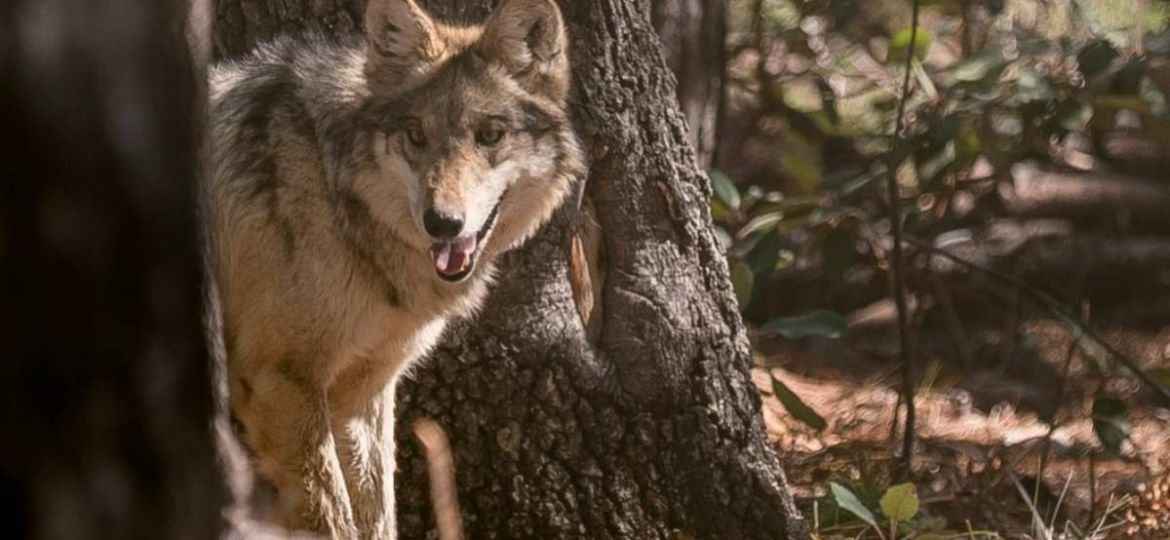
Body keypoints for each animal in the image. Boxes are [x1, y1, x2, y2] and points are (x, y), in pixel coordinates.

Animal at [204, 0, 583, 536]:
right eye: (416, 135)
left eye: (490, 135)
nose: (442, 223)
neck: (333, 190)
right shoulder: (281, 382)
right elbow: (333, 517)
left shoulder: (362, 395)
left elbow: (376, 513)